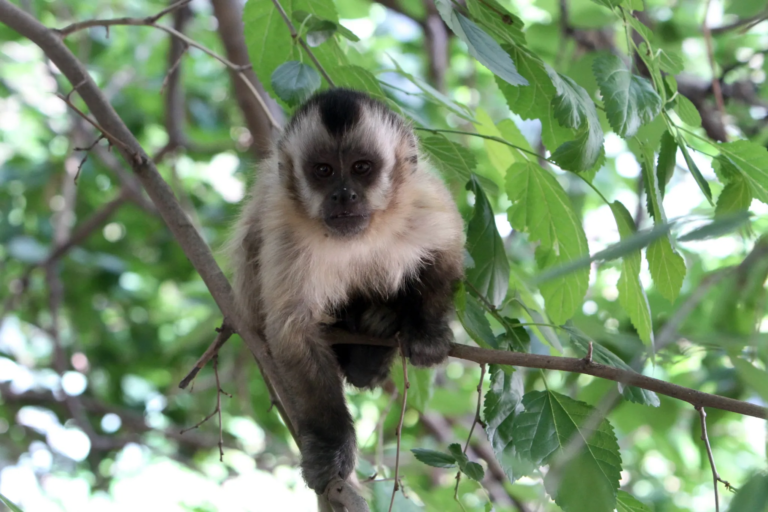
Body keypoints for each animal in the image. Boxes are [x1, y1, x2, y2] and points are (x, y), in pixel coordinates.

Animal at [227, 88, 465, 493]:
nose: (343, 195)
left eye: (361, 168)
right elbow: (292, 330)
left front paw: (427, 331)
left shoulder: (423, 198)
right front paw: (332, 443)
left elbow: (445, 252)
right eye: (323, 170)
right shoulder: (285, 225)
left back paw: (376, 337)